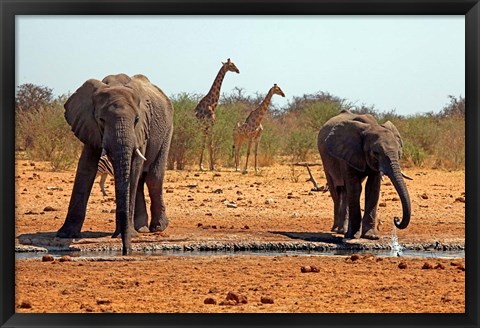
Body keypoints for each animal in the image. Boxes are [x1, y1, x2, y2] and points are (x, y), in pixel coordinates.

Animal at [56, 73, 173, 255]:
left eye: (136, 119)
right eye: (101, 120)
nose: (126, 250)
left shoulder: (141, 130)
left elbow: (133, 167)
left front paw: (126, 234)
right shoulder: (90, 126)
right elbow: (85, 167)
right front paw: (65, 234)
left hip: (167, 131)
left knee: (153, 178)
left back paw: (156, 228)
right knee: (140, 181)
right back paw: (141, 228)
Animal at [316, 109, 410, 240]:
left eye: (398, 152)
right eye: (375, 153)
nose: (396, 219)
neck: (370, 126)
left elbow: (372, 188)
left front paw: (371, 236)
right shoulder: (347, 153)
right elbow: (355, 188)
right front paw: (353, 236)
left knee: (345, 192)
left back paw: (342, 230)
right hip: (325, 160)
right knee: (336, 191)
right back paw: (337, 230)